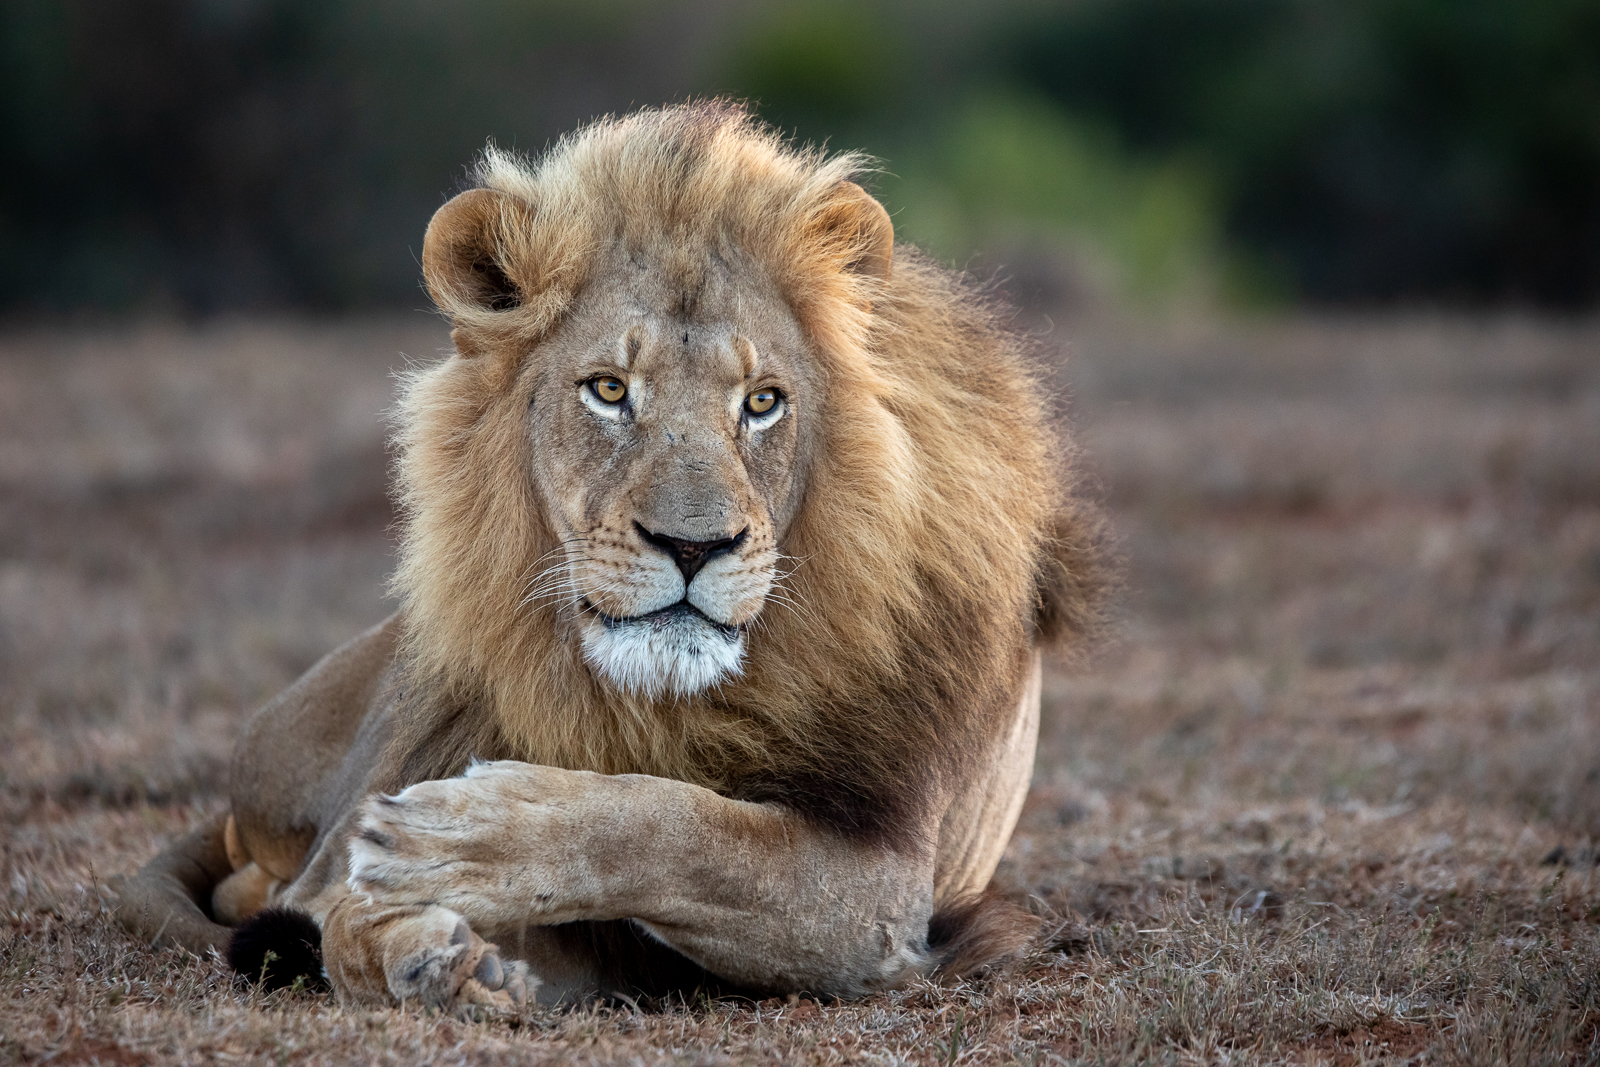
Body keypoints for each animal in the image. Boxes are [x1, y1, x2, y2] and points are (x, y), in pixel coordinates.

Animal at [112, 103, 1113, 1017]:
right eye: (607, 390)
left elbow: (680, 827)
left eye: (762, 401)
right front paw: (431, 949)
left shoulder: (882, 894)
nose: (694, 545)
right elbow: (344, 916)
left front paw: (465, 839)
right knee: (281, 887)